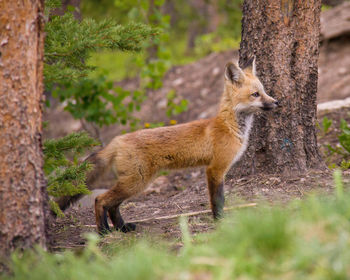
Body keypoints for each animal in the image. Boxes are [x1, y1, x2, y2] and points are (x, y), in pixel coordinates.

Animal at [57, 57, 278, 234]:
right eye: (256, 94)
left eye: (264, 91)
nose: (276, 102)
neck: (230, 126)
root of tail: (117, 140)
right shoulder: (215, 169)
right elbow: (218, 200)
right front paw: (220, 221)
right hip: (137, 182)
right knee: (101, 200)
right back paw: (103, 232)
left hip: (134, 183)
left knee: (113, 206)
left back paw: (122, 228)